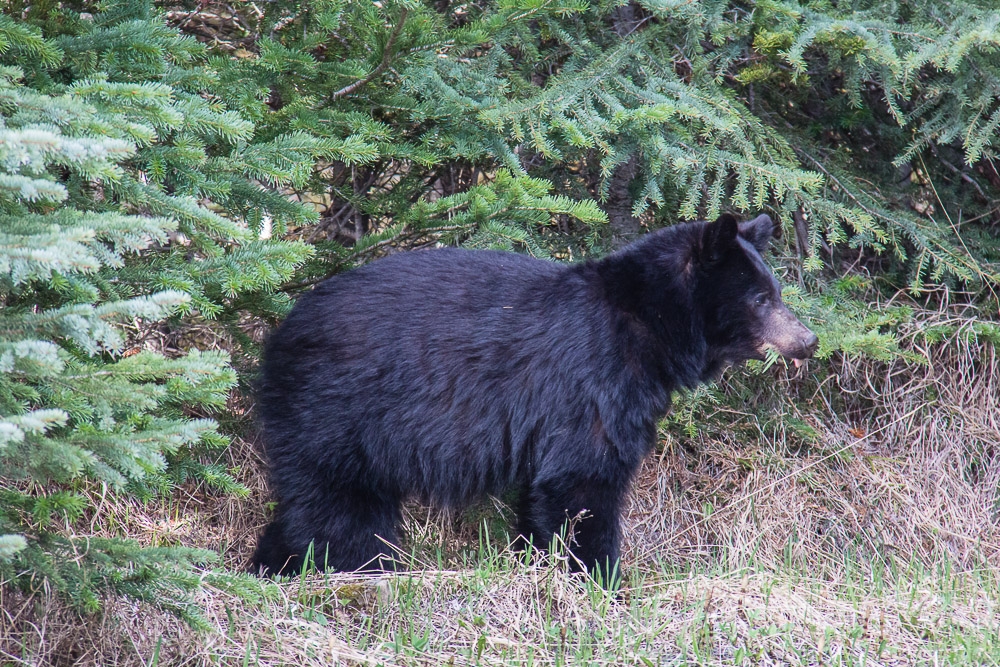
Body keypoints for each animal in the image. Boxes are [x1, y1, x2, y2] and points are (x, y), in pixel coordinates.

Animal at [251, 213, 818, 581]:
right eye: (761, 298)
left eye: (776, 292)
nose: (809, 340)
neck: (648, 324)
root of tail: (277, 337)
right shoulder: (592, 383)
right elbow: (583, 481)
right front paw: (599, 579)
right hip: (340, 411)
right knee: (341, 508)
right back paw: (358, 571)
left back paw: (273, 565)